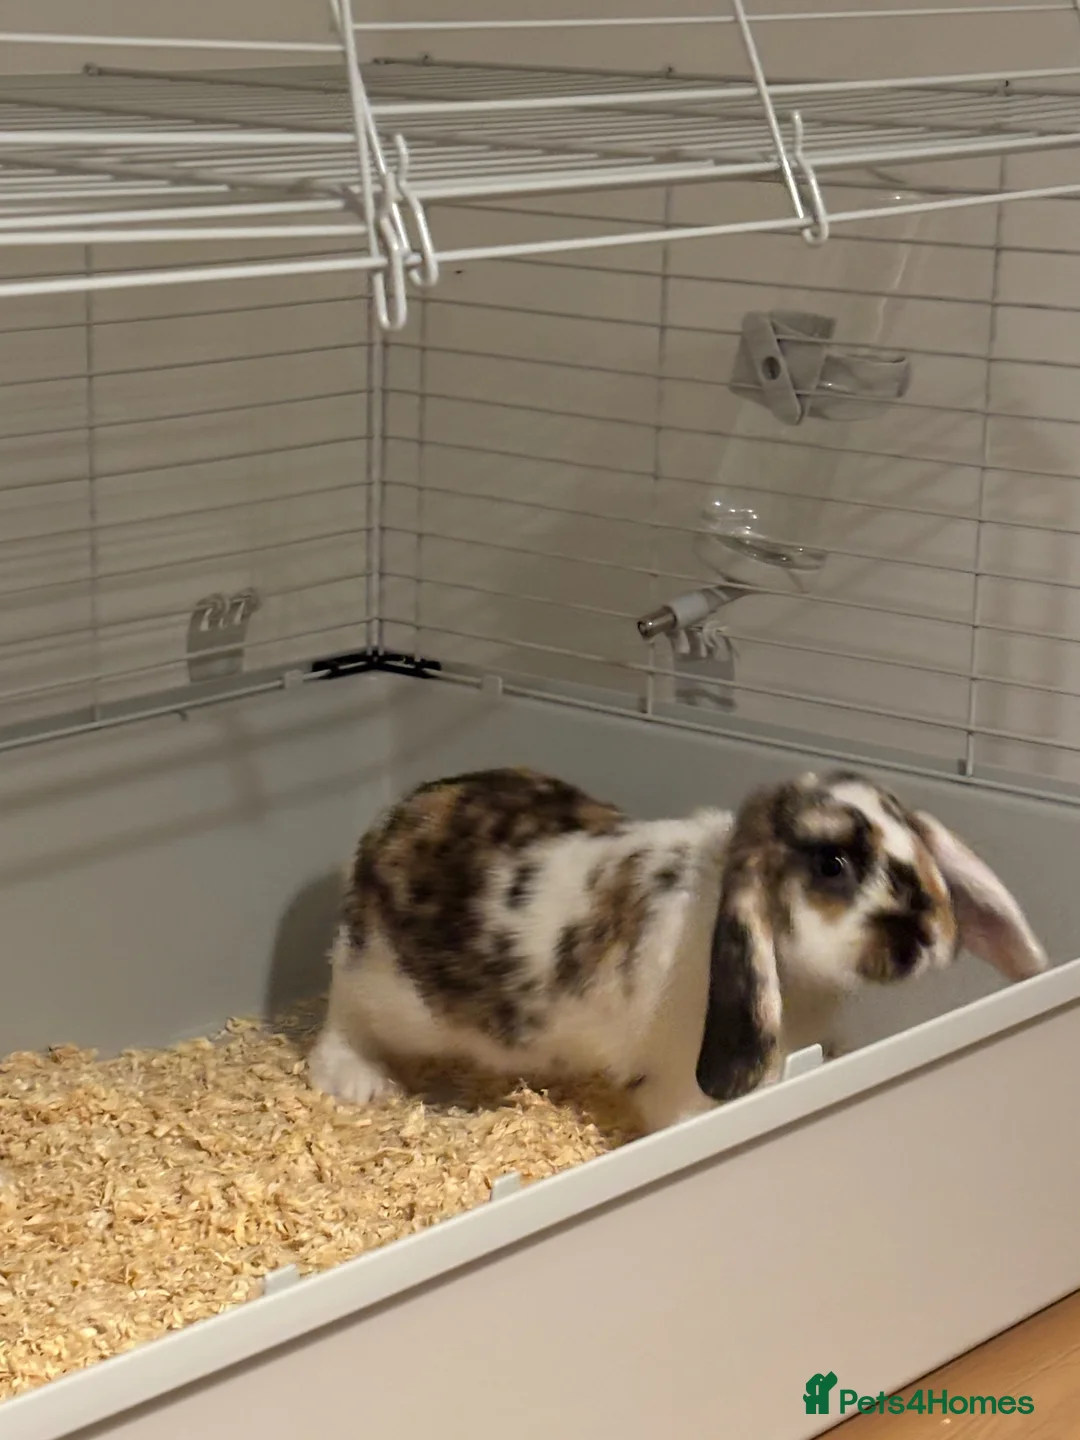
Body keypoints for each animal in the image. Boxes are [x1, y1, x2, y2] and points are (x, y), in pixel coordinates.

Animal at [307, 765, 1048, 1135]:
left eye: (914, 840)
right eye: (832, 863)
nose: (931, 936)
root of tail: (384, 827)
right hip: (383, 989)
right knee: (342, 1016)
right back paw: (357, 1082)